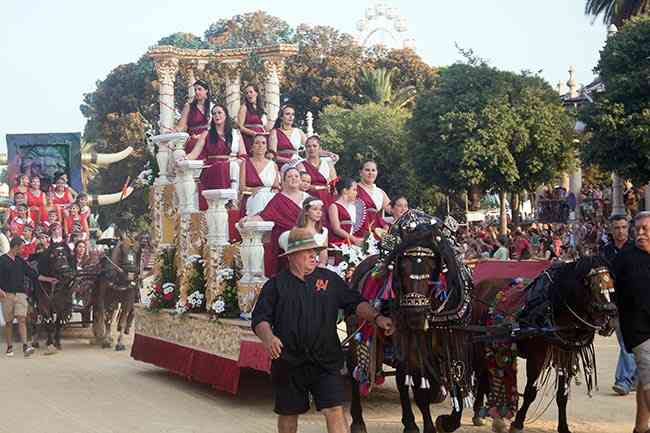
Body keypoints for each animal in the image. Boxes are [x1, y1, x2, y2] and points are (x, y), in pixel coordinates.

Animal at [350, 211, 470, 432]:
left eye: (433, 266)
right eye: (402, 266)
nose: (415, 315)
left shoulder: (452, 344)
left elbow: (456, 382)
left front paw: (446, 422)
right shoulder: (412, 348)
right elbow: (417, 390)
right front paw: (426, 425)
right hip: (358, 333)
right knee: (355, 370)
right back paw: (358, 421)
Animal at [470, 256, 612, 432]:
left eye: (612, 284)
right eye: (592, 285)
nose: (610, 319)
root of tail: (480, 285)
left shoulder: (566, 356)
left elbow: (562, 395)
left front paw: (563, 427)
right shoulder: (536, 357)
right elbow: (530, 392)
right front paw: (518, 423)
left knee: (488, 373)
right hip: (479, 343)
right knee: (482, 372)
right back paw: (480, 412)